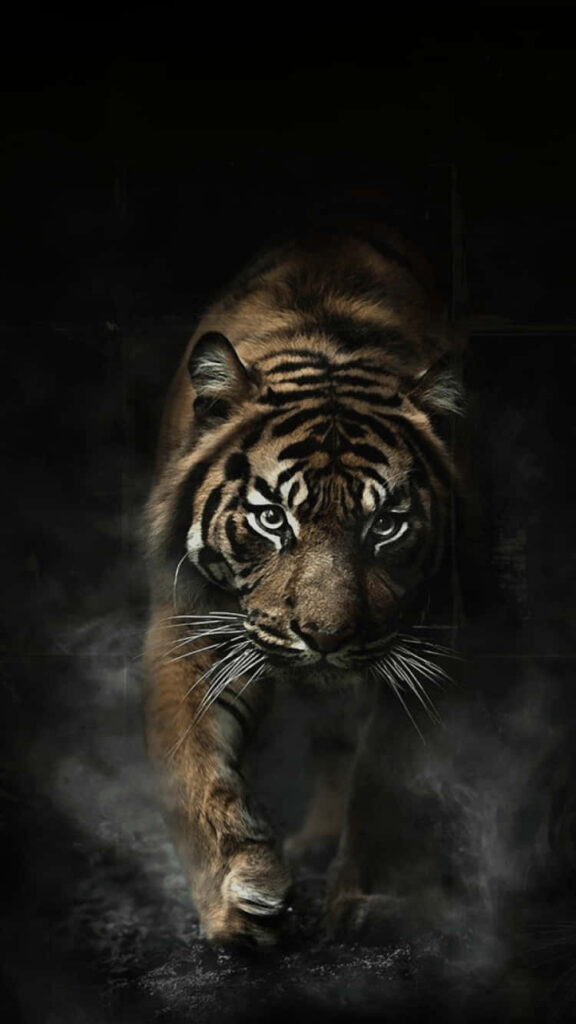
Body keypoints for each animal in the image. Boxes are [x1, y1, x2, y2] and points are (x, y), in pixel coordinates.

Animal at [143, 224, 466, 949]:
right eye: (272, 519)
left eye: (385, 525)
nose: (324, 635)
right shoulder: (192, 623)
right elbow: (194, 768)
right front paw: (239, 897)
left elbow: (384, 778)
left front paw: (360, 901)